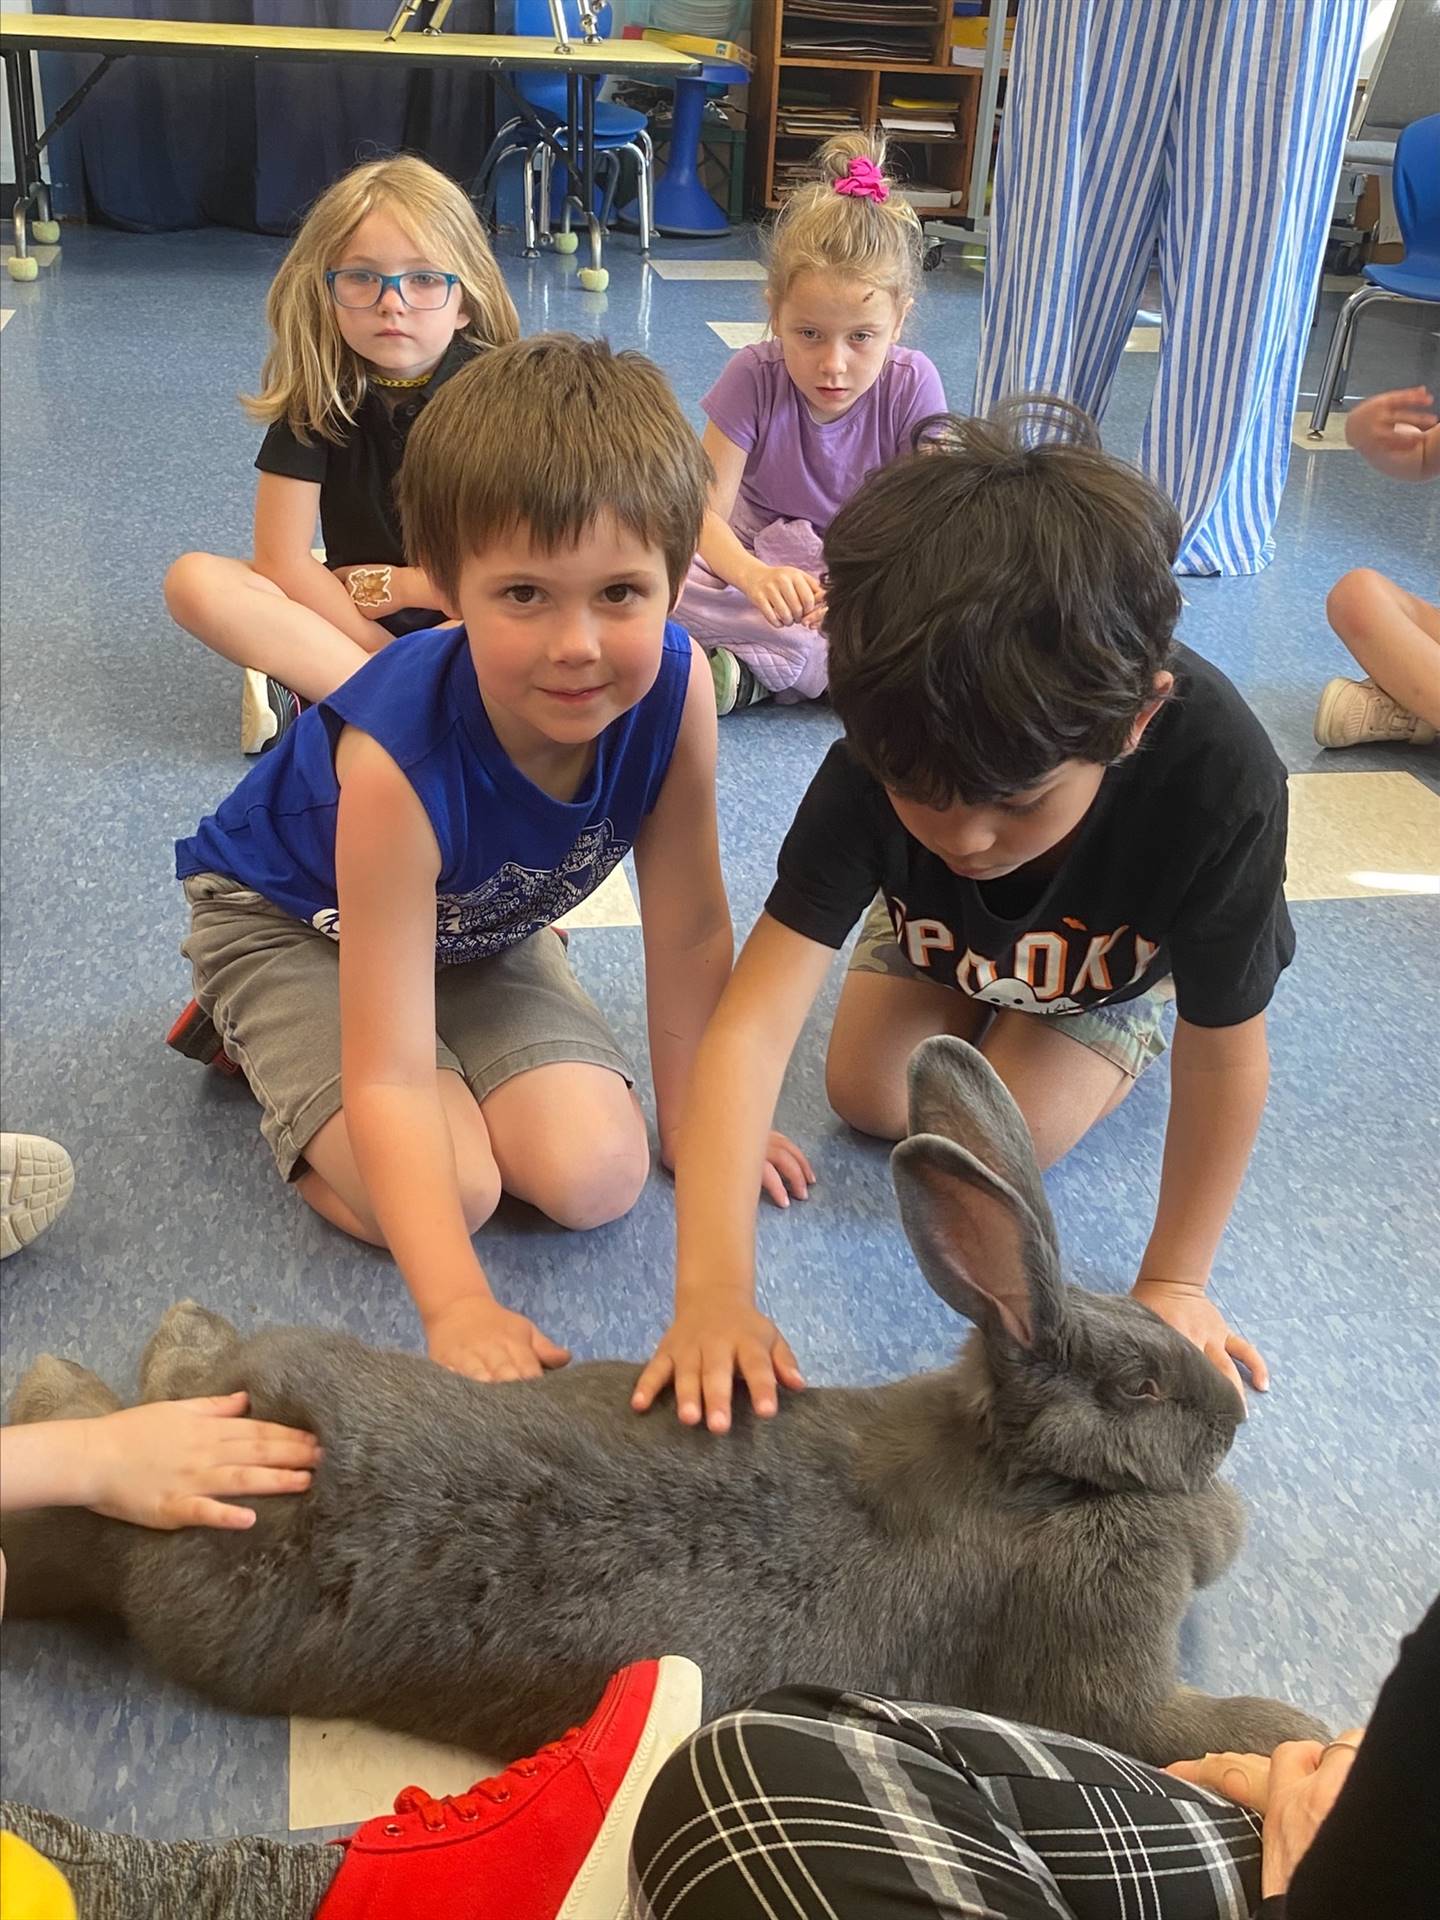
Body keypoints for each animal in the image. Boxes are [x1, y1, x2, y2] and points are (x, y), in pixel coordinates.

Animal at [2, 1036, 1328, 1766]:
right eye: (1142, 1384)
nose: (1232, 1419)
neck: (1029, 1473)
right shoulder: (1098, 1661)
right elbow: (1162, 1725)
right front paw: (1299, 1734)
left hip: (262, 1381)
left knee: (151, 1383)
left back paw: (120, 1351)